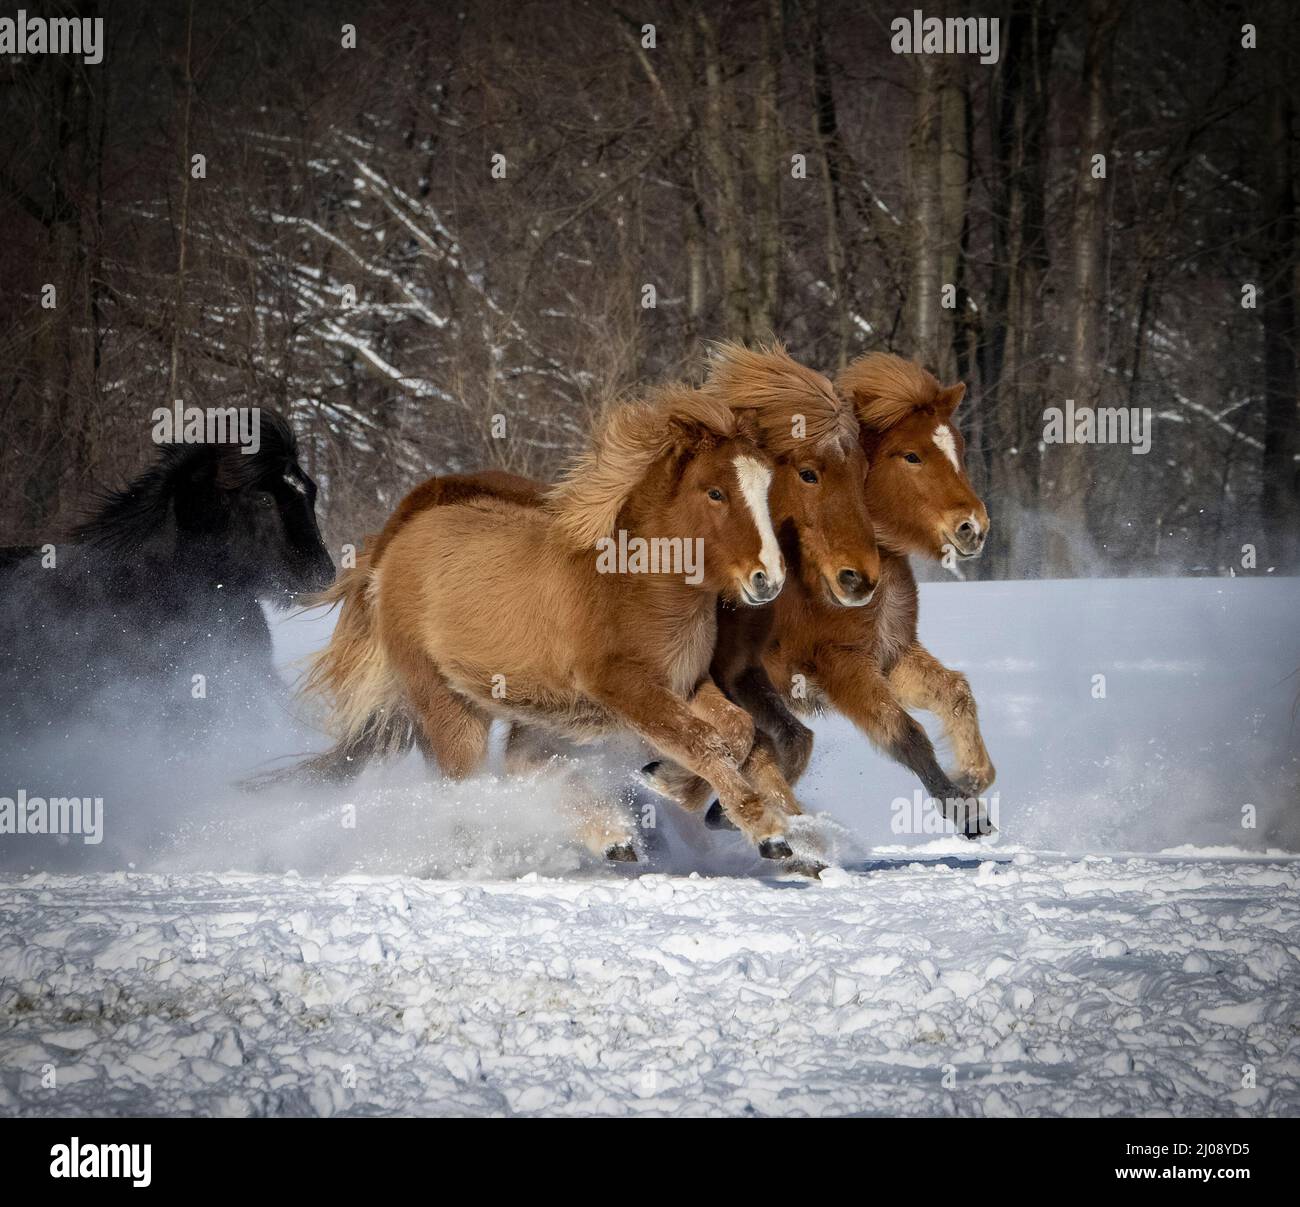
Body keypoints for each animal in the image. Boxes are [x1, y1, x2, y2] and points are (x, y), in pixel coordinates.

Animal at [289, 384, 797, 861]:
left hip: (538, 711)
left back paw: (611, 839)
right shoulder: (625, 687)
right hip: (448, 704)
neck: (632, 587)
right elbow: (700, 740)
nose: (768, 579)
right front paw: (768, 833)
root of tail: (395, 545)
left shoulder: (684, 683)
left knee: (522, 766)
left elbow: (737, 730)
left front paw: (670, 782)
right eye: (715, 492)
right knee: (466, 787)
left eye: (767, 490)